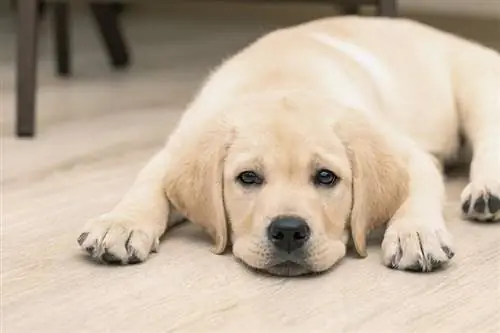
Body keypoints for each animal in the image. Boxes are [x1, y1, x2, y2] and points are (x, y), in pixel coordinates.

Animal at [77, 16, 500, 274]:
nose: (288, 232)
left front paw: (415, 232)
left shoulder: (412, 154)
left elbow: (417, 192)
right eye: (248, 178)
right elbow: (147, 185)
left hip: (478, 87)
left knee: (488, 139)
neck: (282, 78)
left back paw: (485, 192)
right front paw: (120, 224)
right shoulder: (177, 147)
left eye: (326, 177)